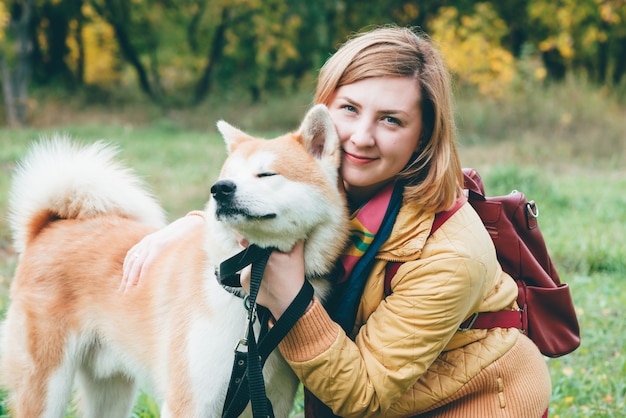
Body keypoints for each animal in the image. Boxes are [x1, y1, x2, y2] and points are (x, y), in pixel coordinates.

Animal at [0, 105, 348, 418]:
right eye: (226, 176)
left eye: (267, 174)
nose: (220, 189)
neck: (248, 298)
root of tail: (49, 227)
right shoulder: (192, 403)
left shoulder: (266, 400)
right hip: (46, 388)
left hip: (111, 392)